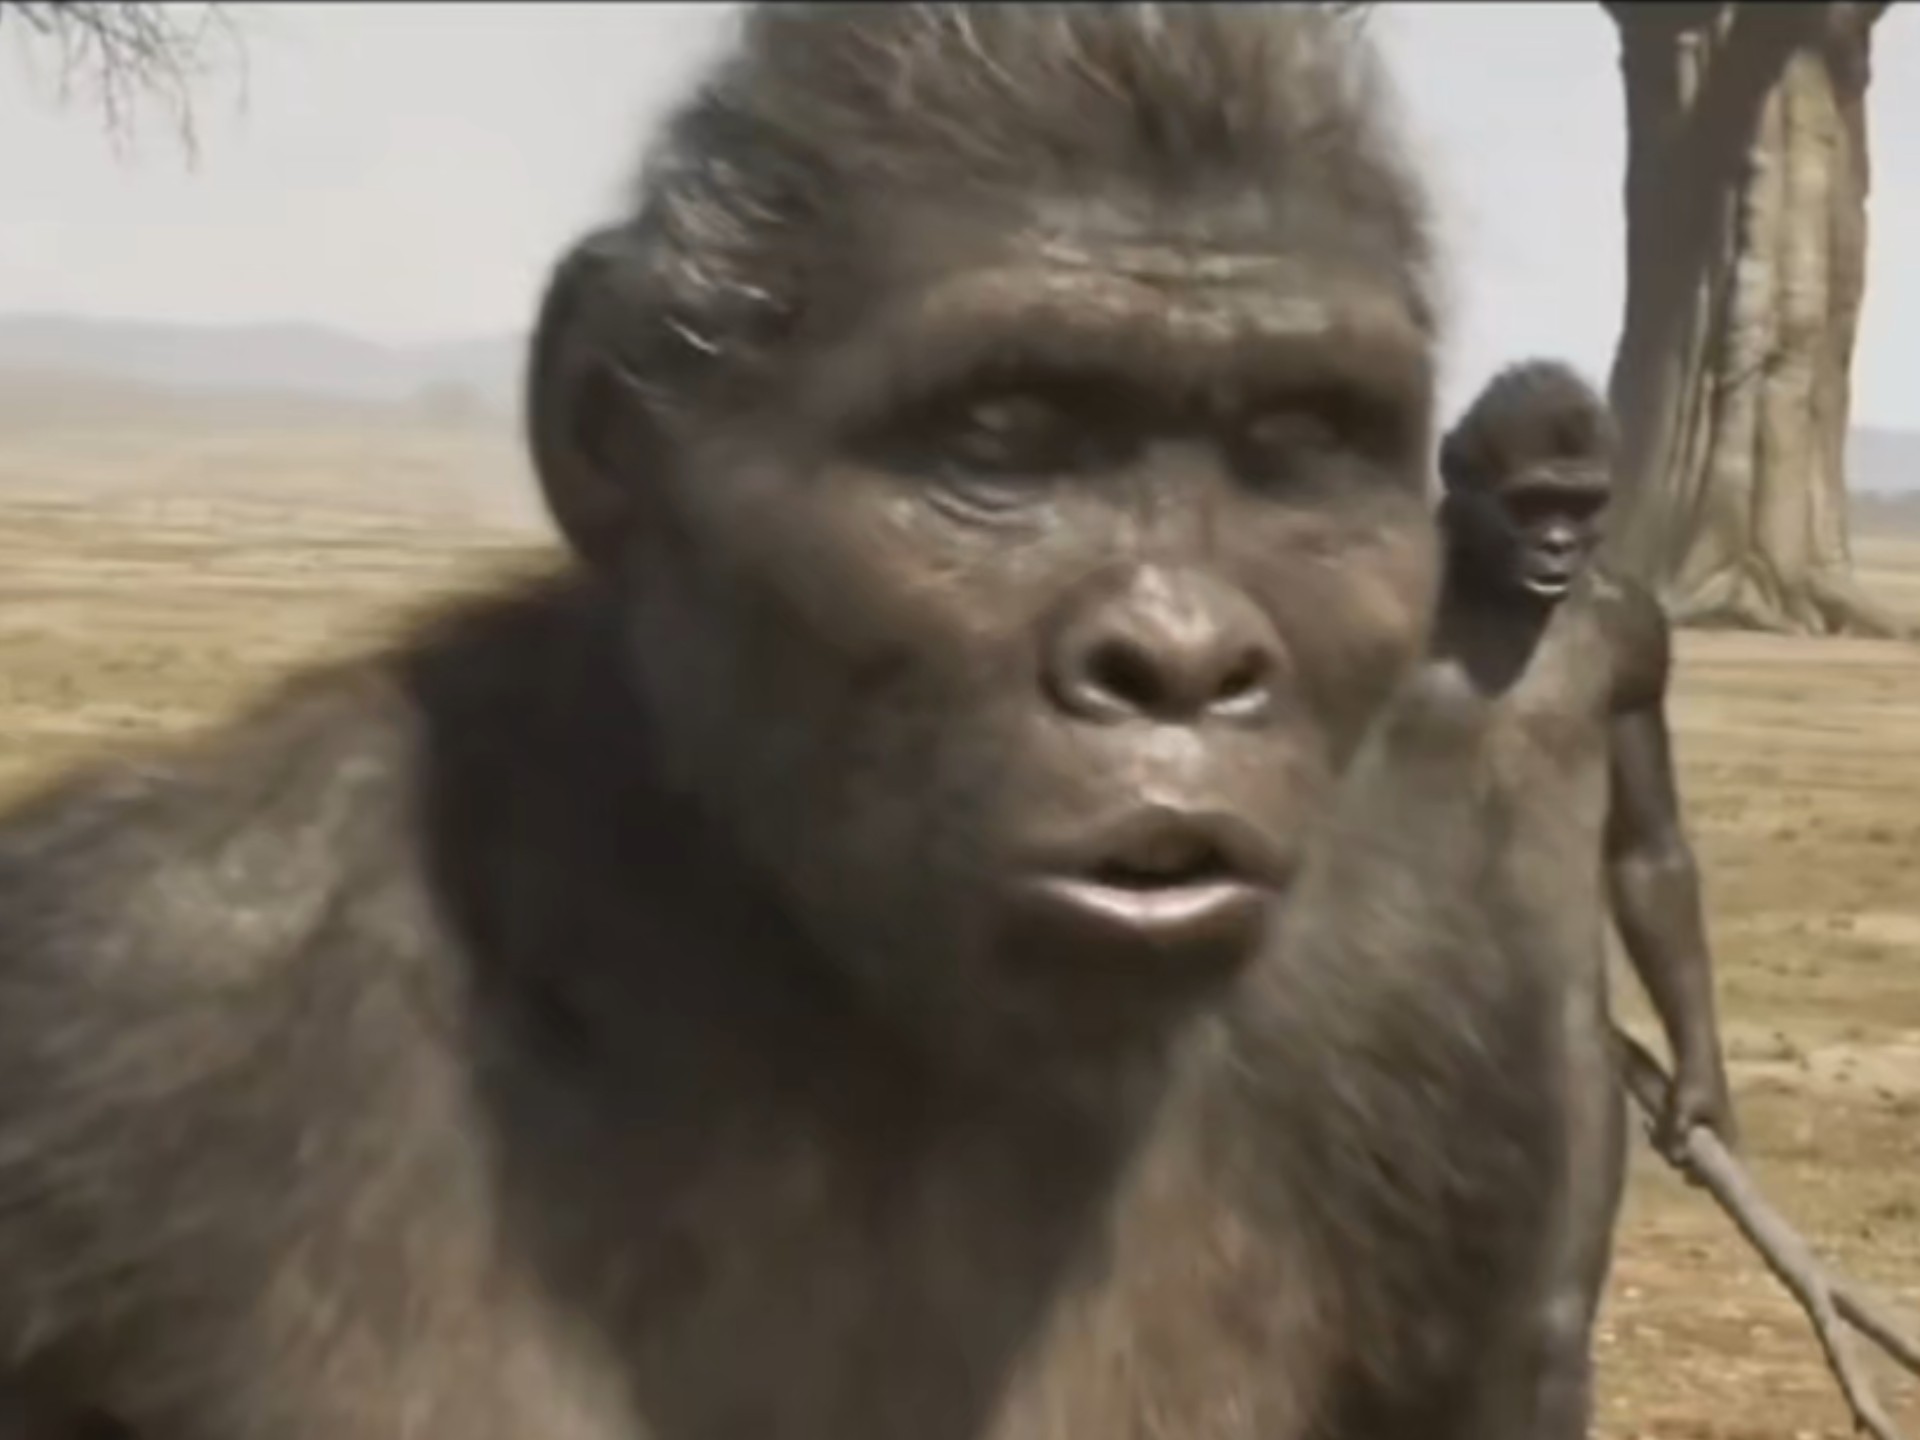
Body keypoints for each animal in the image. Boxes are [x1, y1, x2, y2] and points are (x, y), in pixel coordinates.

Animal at [1430, 357, 1739, 1439]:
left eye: (1582, 503)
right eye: (1532, 502)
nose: (1559, 548)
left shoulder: (1642, 639)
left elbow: (1647, 848)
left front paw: (1697, 1092)